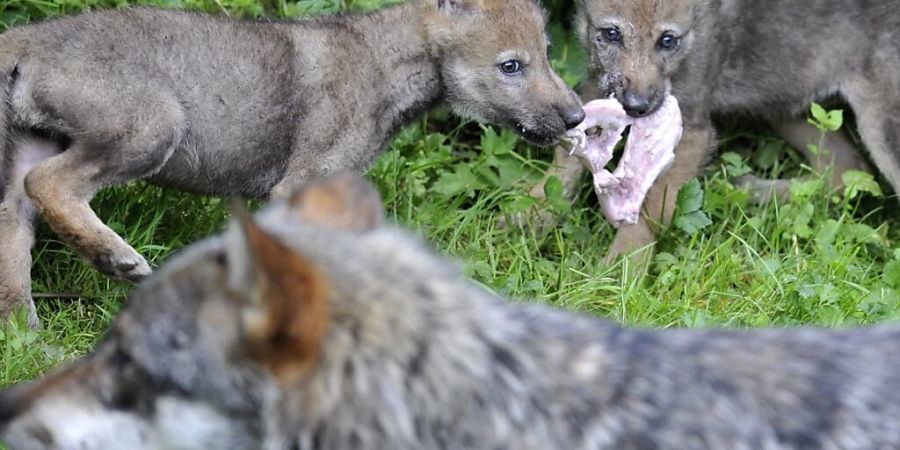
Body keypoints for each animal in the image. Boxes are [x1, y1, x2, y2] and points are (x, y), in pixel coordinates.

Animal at [0, 0, 584, 326]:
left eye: (548, 53)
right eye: (511, 66)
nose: (578, 116)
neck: (385, 65)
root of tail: (27, 36)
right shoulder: (301, 184)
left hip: (37, 143)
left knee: (15, 220)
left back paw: (23, 327)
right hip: (151, 128)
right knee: (48, 185)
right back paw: (114, 258)